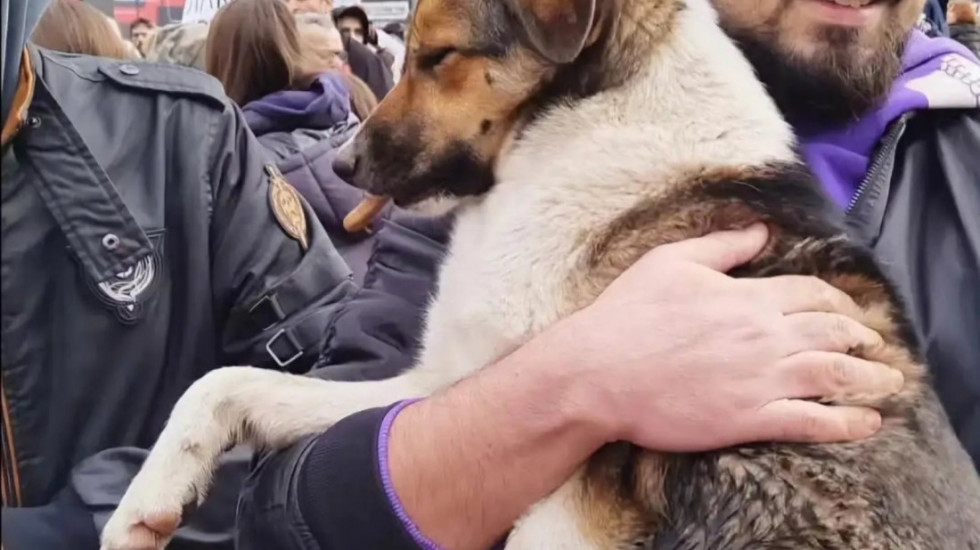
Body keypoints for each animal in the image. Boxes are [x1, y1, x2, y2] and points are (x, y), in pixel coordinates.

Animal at [99, 0, 980, 548]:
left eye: (439, 56)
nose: (343, 165)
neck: (584, 118)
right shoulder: (441, 386)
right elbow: (225, 384)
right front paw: (147, 501)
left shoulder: (571, 505)